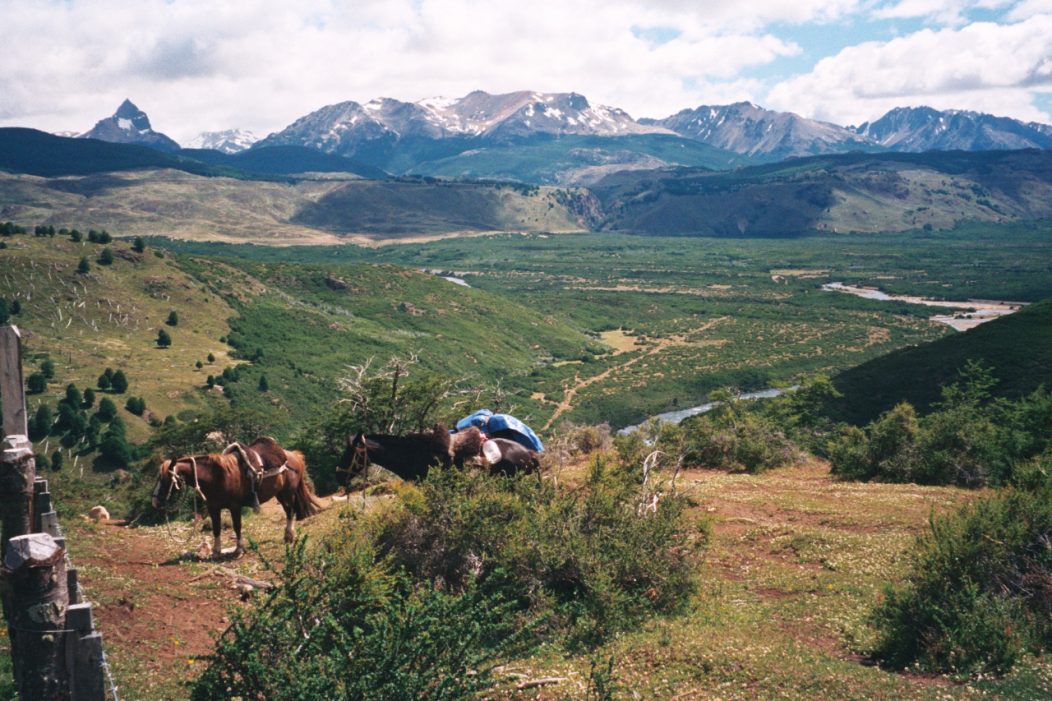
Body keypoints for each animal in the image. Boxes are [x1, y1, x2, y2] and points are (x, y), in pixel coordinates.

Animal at [152, 437, 321, 555]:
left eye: (165, 479)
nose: (154, 501)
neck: (217, 476)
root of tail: (294, 456)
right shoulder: (214, 508)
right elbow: (216, 528)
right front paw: (216, 551)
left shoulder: (234, 507)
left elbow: (237, 526)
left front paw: (239, 549)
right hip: (279, 493)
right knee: (287, 510)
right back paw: (287, 536)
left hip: (288, 492)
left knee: (290, 511)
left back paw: (289, 536)